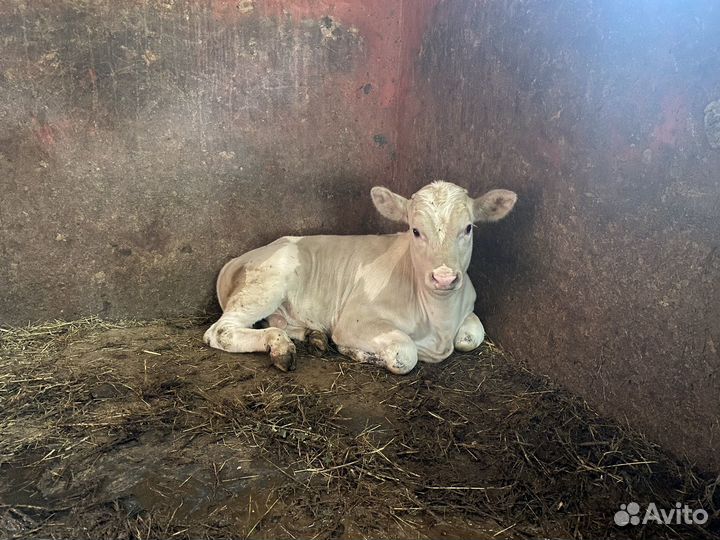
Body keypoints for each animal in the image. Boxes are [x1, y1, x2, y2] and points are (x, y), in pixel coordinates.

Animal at [204, 181, 517, 374]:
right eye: (415, 231)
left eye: (468, 228)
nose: (443, 278)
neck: (439, 322)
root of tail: (240, 257)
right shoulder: (355, 320)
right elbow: (405, 353)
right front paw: (357, 353)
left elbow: (472, 334)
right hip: (267, 284)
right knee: (221, 331)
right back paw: (279, 346)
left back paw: (313, 336)